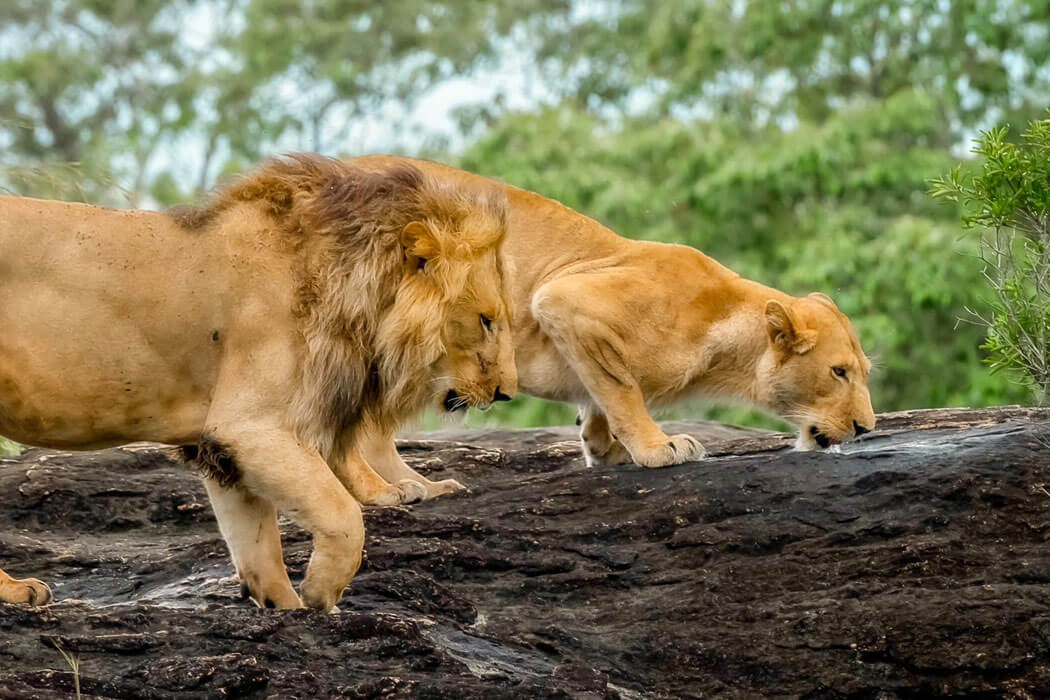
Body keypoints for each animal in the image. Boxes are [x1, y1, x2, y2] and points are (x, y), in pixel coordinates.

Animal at [0, 154, 516, 610]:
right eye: (486, 320)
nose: (505, 392)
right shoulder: (251, 426)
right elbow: (342, 513)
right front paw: (322, 593)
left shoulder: (221, 444)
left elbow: (256, 543)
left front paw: (286, 607)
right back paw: (17, 592)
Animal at [346, 156, 875, 488]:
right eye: (839, 372)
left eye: (862, 372)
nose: (866, 428)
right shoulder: (564, 298)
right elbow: (623, 391)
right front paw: (659, 447)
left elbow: (601, 394)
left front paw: (605, 450)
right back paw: (408, 490)